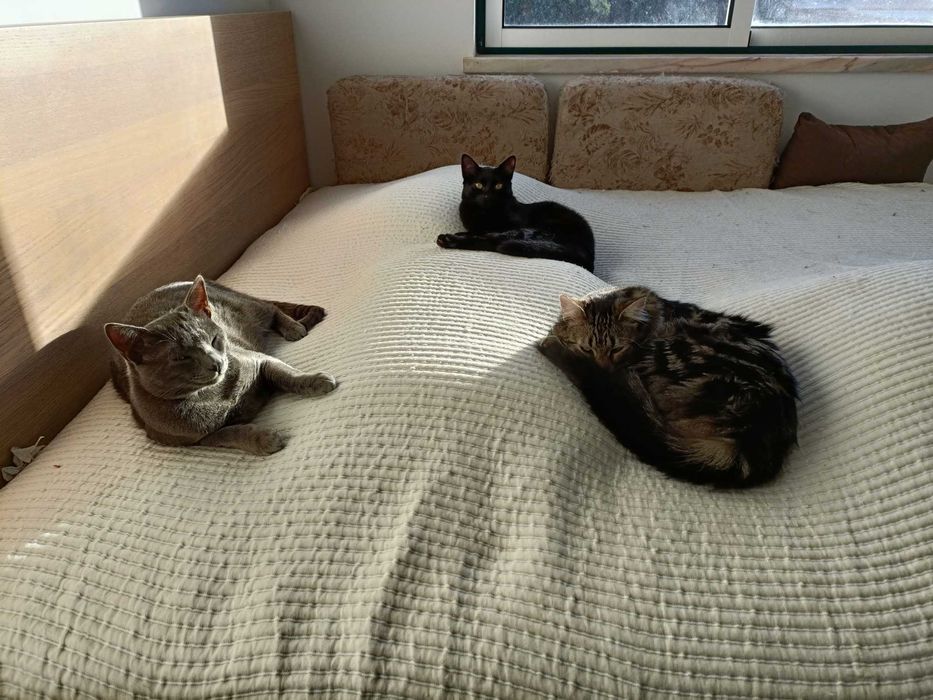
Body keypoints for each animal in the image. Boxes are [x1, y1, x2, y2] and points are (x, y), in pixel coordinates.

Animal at [105, 276, 337, 455]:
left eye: (214, 339)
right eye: (181, 358)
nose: (216, 363)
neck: (219, 395)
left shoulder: (258, 359)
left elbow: (288, 375)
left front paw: (317, 381)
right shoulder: (195, 439)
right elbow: (230, 433)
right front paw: (264, 439)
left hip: (247, 307)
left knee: (270, 308)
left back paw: (293, 328)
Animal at [436, 154, 596, 272]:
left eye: (498, 185)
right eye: (478, 185)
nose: (487, 196)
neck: (484, 214)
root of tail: (588, 251)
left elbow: (480, 235)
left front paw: (458, 236)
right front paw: (462, 233)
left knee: (492, 242)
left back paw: (448, 240)